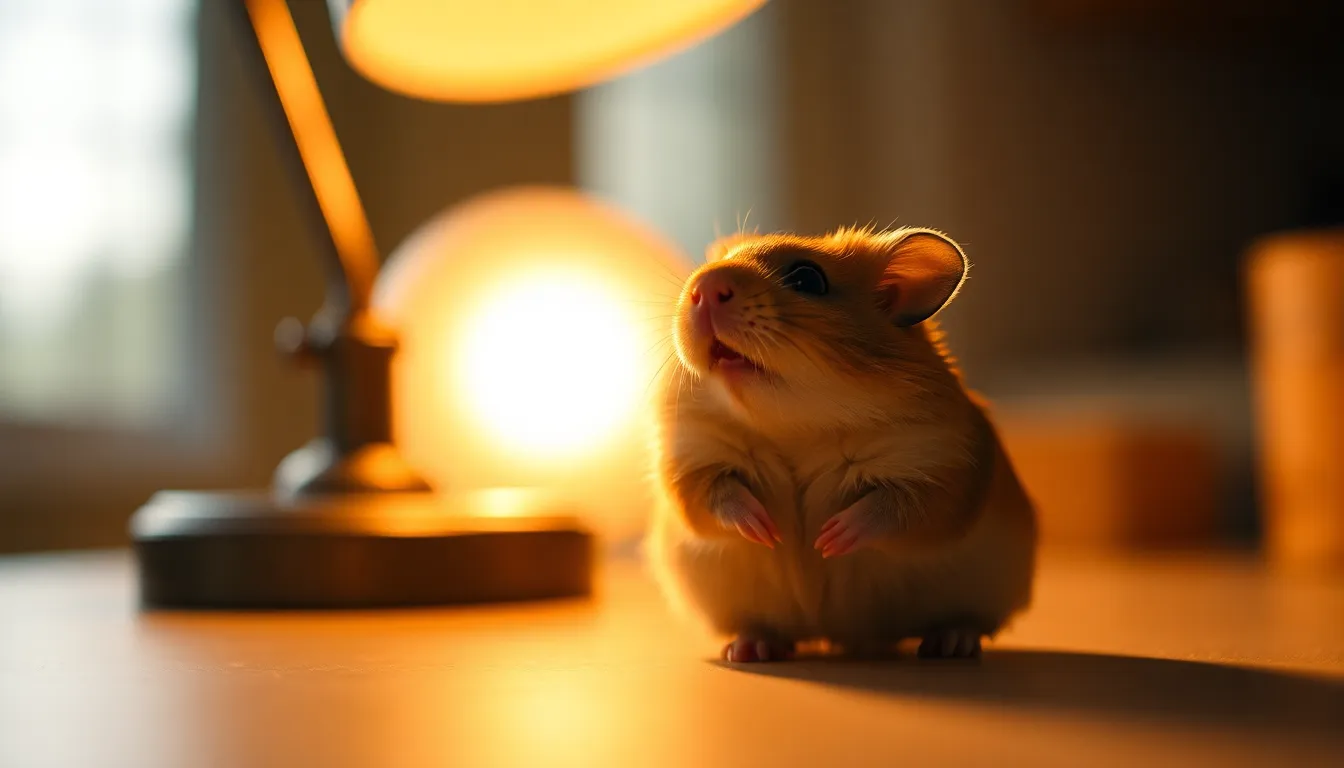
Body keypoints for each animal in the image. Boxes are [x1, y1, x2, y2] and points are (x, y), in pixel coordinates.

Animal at [646, 227, 1036, 662]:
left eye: (807, 279)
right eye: (715, 262)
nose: (704, 287)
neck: (795, 424)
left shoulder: (941, 466)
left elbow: (892, 509)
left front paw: (829, 539)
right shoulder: (693, 457)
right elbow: (716, 498)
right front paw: (766, 529)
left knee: (965, 622)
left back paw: (950, 643)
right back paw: (752, 647)